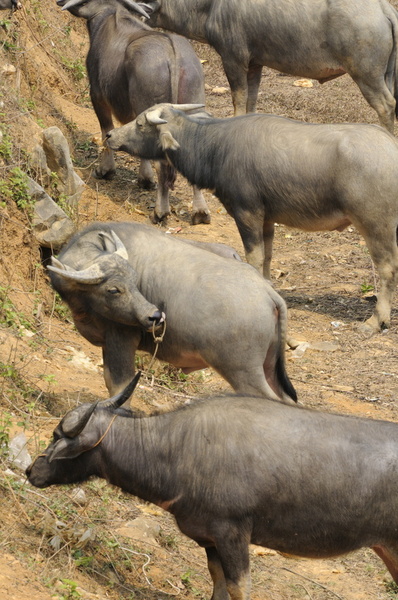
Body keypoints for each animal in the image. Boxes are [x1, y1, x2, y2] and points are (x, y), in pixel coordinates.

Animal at [27, 372, 398, 596]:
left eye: (57, 435)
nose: (32, 470)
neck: (179, 449)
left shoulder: (234, 535)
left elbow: (239, 588)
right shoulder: (211, 541)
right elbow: (218, 586)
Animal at [48, 220, 296, 404]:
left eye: (134, 281)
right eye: (114, 289)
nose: (154, 316)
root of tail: (267, 291)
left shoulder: (120, 339)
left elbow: (119, 388)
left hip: (243, 370)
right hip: (268, 366)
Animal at [56, 0, 211, 223]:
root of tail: (173, 56)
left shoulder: (97, 95)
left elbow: (106, 131)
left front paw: (106, 170)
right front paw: (144, 179)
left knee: (162, 163)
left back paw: (160, 211)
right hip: (193, 103)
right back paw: (200, 212)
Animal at [105, 106, 398, 332]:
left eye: (140, 123)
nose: (109, 135)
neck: (215, 148)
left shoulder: (247, 213)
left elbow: (253, 257)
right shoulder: (267, 219)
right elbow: (267, 256)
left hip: (376, 225)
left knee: (387, 268)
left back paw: (377, 320)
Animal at [137, 0, 398, 130]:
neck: (211, 6)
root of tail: (383, 8)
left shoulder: (233, 59)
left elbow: (239, 99)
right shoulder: (255, 64)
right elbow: (251, 100)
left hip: (367, 75)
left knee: (386, 105)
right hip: (386, 75)